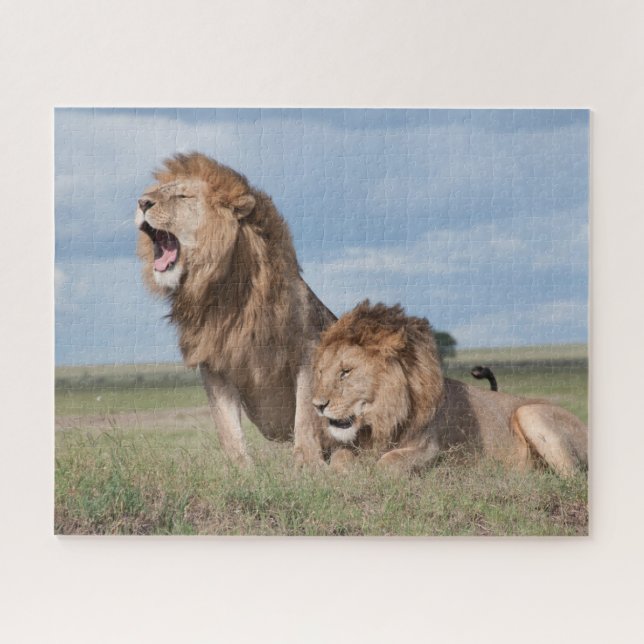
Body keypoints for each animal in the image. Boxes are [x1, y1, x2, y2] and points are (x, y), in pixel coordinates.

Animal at [135, 152, 336, 465]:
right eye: (155, 193)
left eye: (182, 196)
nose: (142, 202)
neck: (223, 291)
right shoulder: (214, 364)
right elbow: (227, 427)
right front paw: (240, 469)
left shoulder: (307, 349)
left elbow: (305, 415)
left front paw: (307, 464)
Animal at [312, 301, 588, 476]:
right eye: (321, 372)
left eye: (346, 372)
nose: (317, 406)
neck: (382, 419)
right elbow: (340, 458)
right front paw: (346, 472)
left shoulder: (431, 449)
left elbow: (389, 462)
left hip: (529, 412)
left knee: (573, 479)